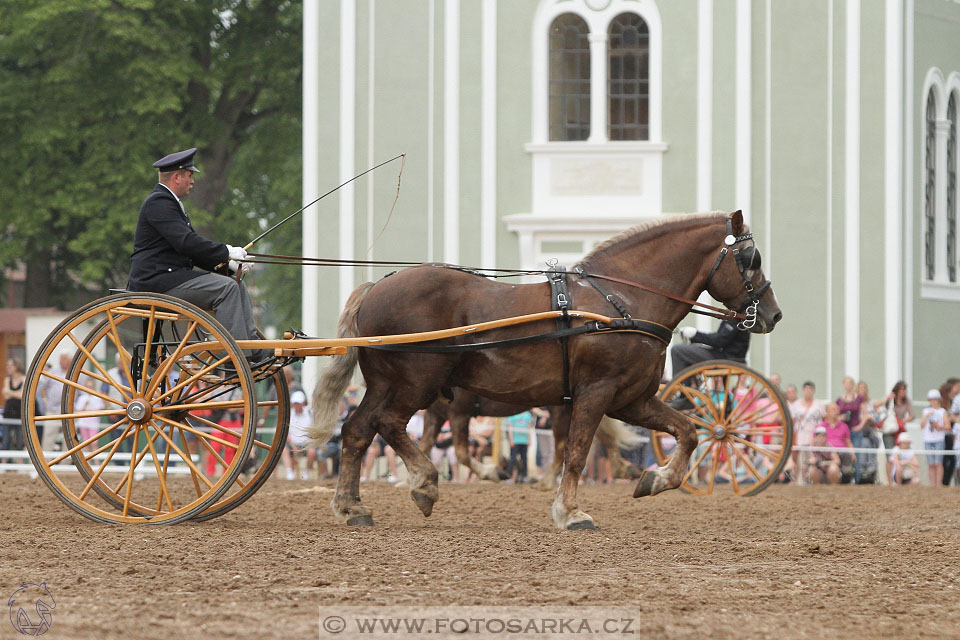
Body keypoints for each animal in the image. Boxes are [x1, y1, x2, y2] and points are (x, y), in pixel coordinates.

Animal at [308, 211, 780, 528]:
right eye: (752, 257)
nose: (773, 314)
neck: (620, 302)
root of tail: (376, 287)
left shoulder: (631, 400)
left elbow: (688, 432)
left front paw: (654, 479)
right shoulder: (596, 392)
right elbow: (577, 452)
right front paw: (569, 511)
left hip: (386, 383)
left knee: (357, 431)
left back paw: (352, 506)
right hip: (416, 383)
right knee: (387, 424)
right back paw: (423, 483)